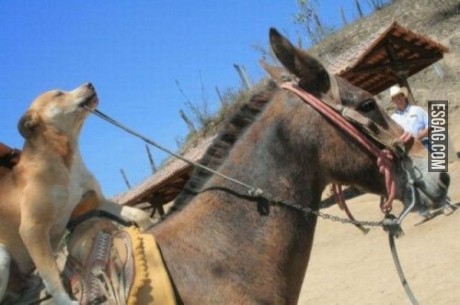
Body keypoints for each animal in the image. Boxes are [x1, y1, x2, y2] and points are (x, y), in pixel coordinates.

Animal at [0, 82, 155, 302]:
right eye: (58, 94)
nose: (90, 83)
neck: (64, 160)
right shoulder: (32, 229)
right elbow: (51, 276)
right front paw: (66, 301)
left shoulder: (99, 201)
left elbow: (137, 212)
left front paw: (149, 226)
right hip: (2, 253)